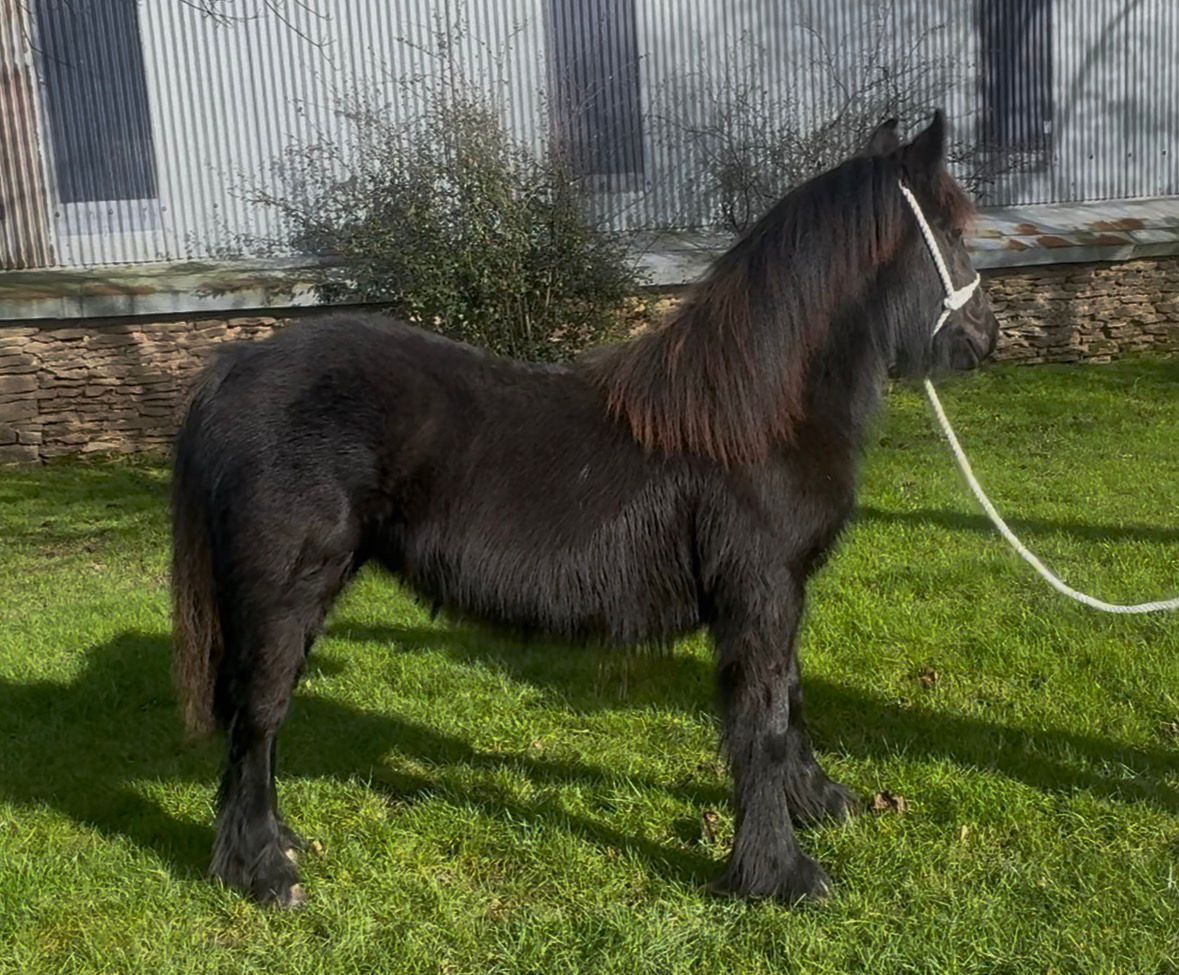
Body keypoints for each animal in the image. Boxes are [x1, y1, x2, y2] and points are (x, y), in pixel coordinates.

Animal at [171, 112, 998, 908]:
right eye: (954, 234)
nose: (985, 338)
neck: (750, 413)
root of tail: (230, 369)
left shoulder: (777, 595)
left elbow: (788, 700)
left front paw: (818, 803)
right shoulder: (759, 594)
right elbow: (759, 723)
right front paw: (780, 873)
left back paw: (277, 843)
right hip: (284, 597)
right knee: (258, 717)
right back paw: (262, 871)